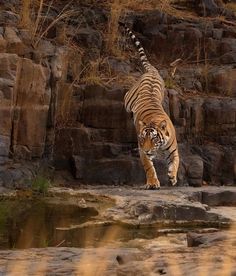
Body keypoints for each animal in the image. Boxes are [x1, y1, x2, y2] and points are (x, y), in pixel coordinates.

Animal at [120, 22, 179, 189]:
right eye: (143, 139)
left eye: (154, 139)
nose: (147, 150)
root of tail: (152, 71)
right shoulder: (142, 151)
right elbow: (149, 167)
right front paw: (152, 183)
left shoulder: (173, 149)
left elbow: (176, 162)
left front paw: (172, 176)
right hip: (128, 100)